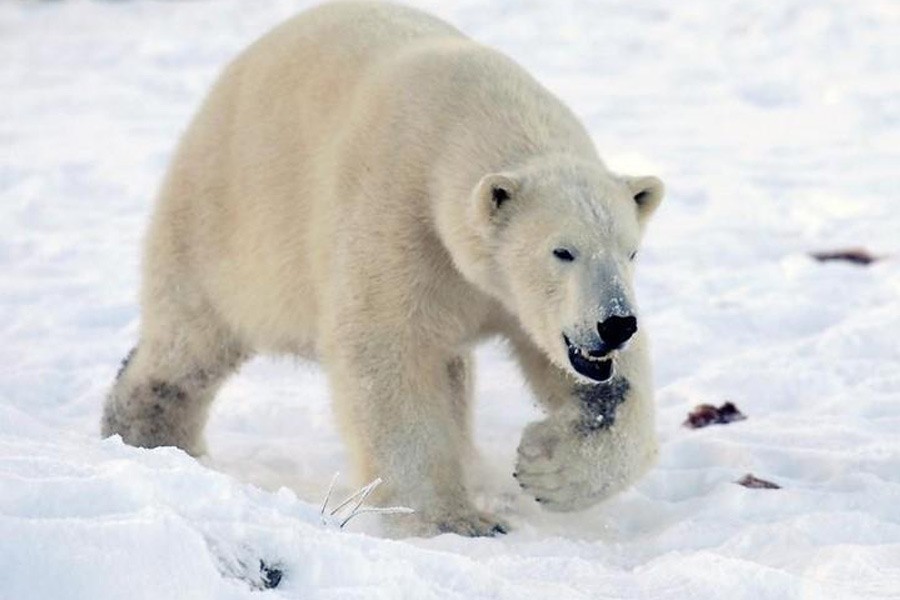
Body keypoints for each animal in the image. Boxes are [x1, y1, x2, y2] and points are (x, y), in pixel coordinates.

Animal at [102, 1, 664, 540]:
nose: (615, 324)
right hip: (222, 223)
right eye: (561, 251)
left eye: (631, 252)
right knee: (188, 343)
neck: (472, 119)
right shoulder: (399, 218)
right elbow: (389, 355)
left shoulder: (515, 299)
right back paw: (145, 434)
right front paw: (453, 520)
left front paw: (546, 466)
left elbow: (605, 382)